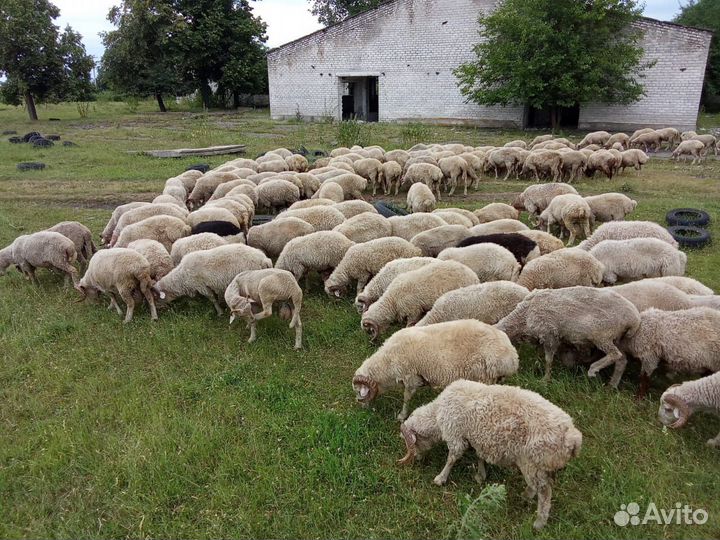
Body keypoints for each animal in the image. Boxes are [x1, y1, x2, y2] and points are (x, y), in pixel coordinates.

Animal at [353, 320, 518, 420]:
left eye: (359, 390)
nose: (361, 406)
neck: (387, 361)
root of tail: (512, 356)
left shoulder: (410, 377)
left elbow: (406, 398)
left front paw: (402, 416)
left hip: (486, 377)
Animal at [398, 379, 582, 530]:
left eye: (413, 444)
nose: (417, 459)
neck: (437, 414)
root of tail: (572, 438)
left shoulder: (455, 434)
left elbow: (452, 458)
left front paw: (440, 478)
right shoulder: (477, 439)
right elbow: (479, 457)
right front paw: (481, 475)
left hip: (534, 462)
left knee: (544, 492)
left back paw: (538, 522)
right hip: (539, 465)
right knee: (540, 486)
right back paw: (526, 497)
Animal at [497, 286, 640, 384]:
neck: (523, 316)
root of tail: (634, 318)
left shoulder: (549, 335)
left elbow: (548, 360)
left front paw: (545, 379)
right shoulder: (542, 338)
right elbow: (540, 354)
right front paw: (537, 366)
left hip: (602, 334)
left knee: (615, 354)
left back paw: (593, 370)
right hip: (616, 338)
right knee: (621, 360)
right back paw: (612, 385)